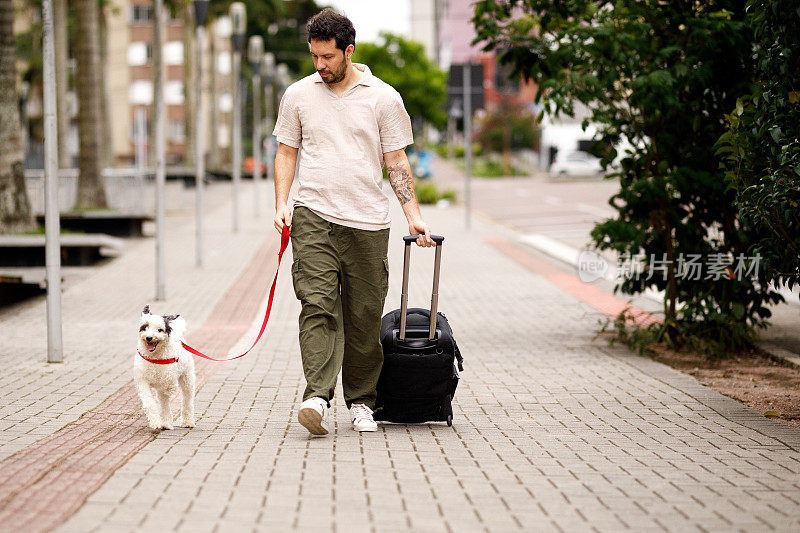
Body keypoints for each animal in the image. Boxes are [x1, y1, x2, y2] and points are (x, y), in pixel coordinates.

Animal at [134, 302, 195, 430]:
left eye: (159, 329)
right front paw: (156, 422)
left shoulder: (168, 379)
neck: (155, 357)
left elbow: (168, 389)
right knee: (164, 403)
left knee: (187, 400)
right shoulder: (142, 381)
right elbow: (150, 403)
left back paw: (187, 421)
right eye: (145, 327)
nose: (149, 337)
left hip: (187, 379)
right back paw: (165, 423)